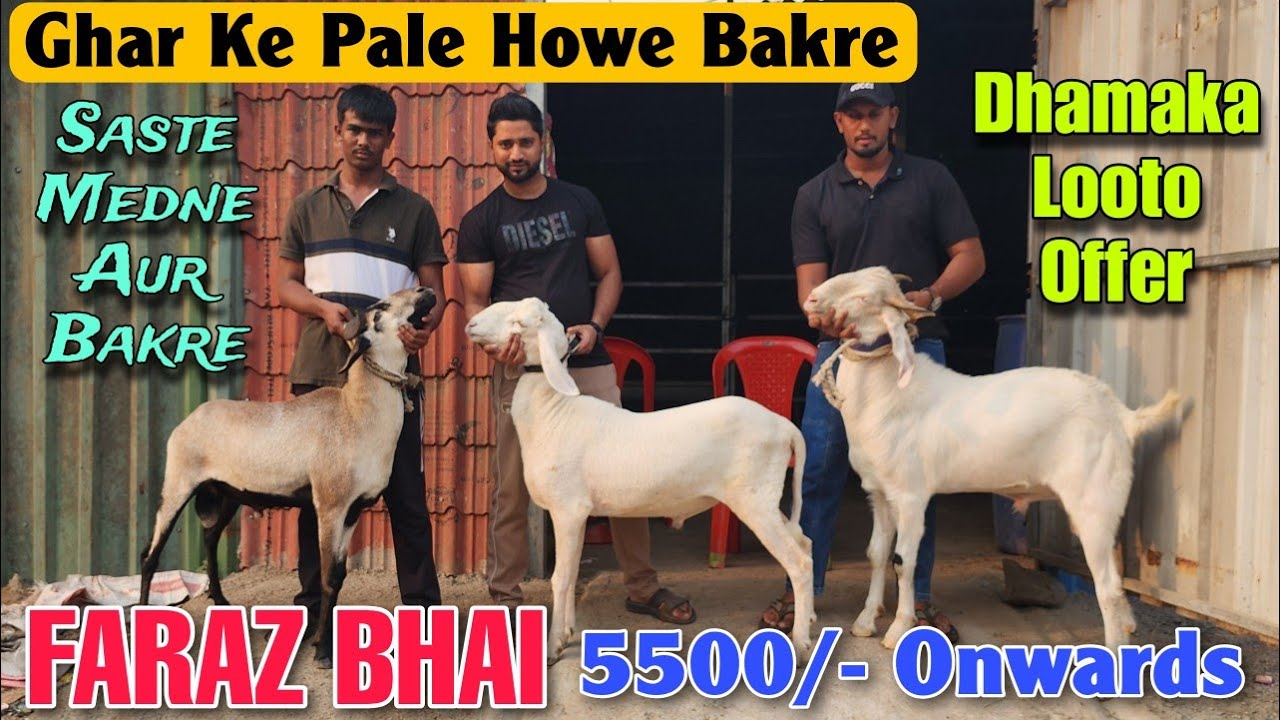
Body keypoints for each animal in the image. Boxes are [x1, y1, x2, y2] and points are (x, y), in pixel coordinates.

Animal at [138, 286, 437, 665]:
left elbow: (339, 576)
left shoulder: (353, 510)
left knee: (209, 538)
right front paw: (322, 649)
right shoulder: (330, 505)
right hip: (178, 482)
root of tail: (189, 419)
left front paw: (326, 644)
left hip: (225, 493)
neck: (355, 414)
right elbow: (327, 577)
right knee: (150, 554)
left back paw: (221, 601)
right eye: (381, 307)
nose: (427, 291)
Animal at [465, 298, 815, 663]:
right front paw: (568, 632)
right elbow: (572, 574)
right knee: (806, 543)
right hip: (763, 497)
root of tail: (784, 426)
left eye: (519, 323)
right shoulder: (578, 514)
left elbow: (561, 578)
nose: (470, 324)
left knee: (799, 561)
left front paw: (552, 646)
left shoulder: (568, 509)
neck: (553, 410)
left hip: (754, 499)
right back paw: (809, 619)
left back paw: (801, 643)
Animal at [805, 267, 1186, 650]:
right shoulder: (880, 493)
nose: (811, 299)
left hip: (1095, 499)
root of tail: (1123, 415)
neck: (887, 393)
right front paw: (866, 620)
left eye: (865, 297)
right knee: (1116, 581)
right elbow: (877, 554)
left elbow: (904, 561)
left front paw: (899, 628)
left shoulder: (911, 496)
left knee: (1106, 586)